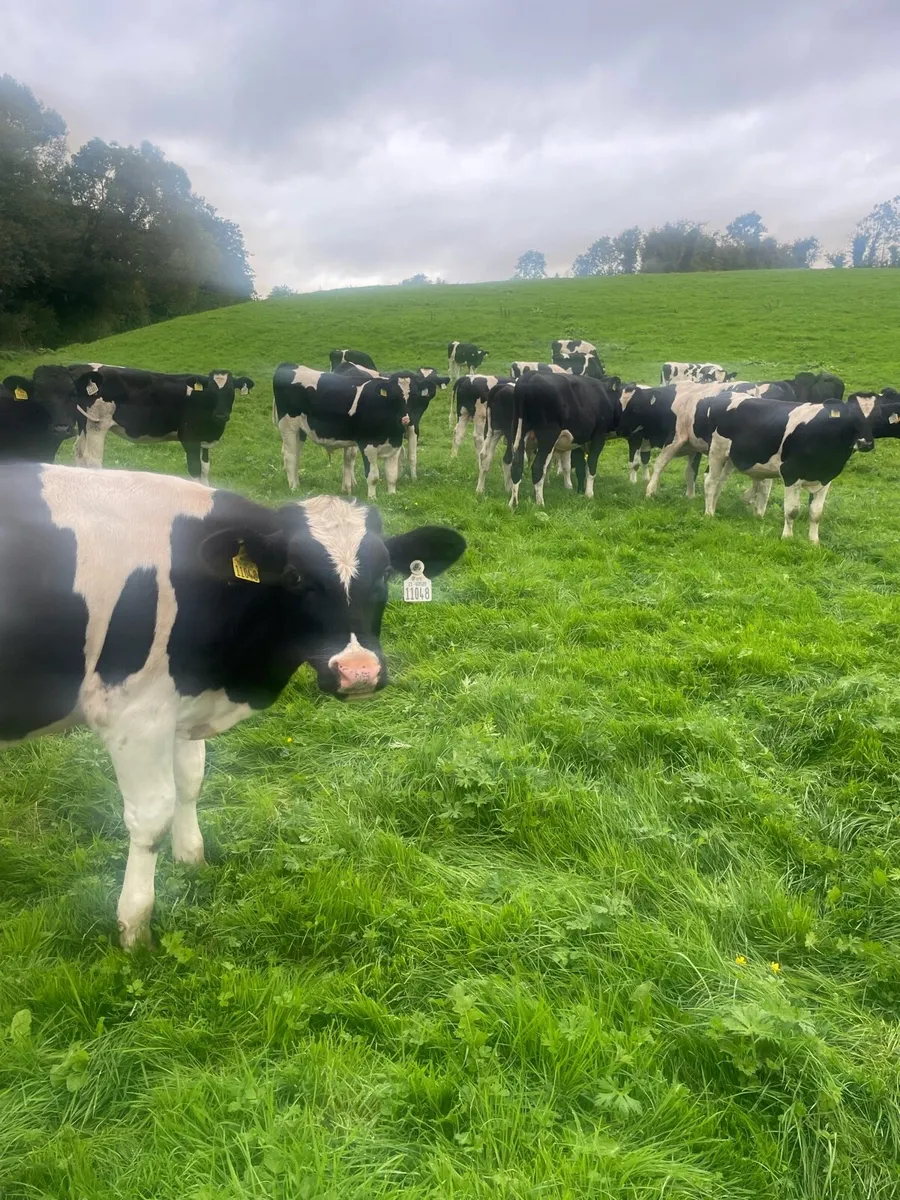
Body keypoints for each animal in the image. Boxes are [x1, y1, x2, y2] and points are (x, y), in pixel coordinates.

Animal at [0, 461, 465, 946]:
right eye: (295, 576)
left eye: (386, 572)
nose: (359, 671)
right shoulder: (132, 714)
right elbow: (151, 816)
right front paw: (135, 928)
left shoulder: (178, 698)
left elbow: (190, 781)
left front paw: (192, 862)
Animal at [68, 365, 255, 484]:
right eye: (211, 392)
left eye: (231, 391)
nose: (221, 415)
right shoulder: (189, 438)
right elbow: (195, 470)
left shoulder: (203, 440)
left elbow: (205, 469)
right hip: (97, 425)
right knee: (92, 459)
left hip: (84, 424)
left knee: (79, 451)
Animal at [272, 364, 410, 498]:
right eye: (394, 397)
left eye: (413, 396)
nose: (405, 419)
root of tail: (286, 365)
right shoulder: (367, 445)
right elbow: (373, 476)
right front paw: (372, 498)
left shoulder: (395, 444)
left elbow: (392, 474)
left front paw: (392, 495)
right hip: (288, 425)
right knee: (290, 455)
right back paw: (294, 487)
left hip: (300, 431)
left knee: (296, 453)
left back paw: (297, 483)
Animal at [507, 371, 623, 508]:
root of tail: (530, 376)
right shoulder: (598, 436)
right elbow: (591, 465)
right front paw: (589, 494)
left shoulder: (577, 442)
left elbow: (573, 465)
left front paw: (573, 489)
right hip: (548, 436)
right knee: (537, 467)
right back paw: (540, 503)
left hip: (518, 431)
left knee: (517, 465)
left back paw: (513, 503)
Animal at [702, 392, 900, 542]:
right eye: (851, 417)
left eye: (877, 417)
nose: (865, 443)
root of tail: (726, 394)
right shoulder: (791, 474)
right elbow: (792, 510)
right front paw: (787, 537)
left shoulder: (826, 478)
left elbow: (816, 512)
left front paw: (814, 541)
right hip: (717, 452)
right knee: (711, 481)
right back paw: (708, 514)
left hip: (730, 459)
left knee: (720, 483)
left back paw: (715, 508)